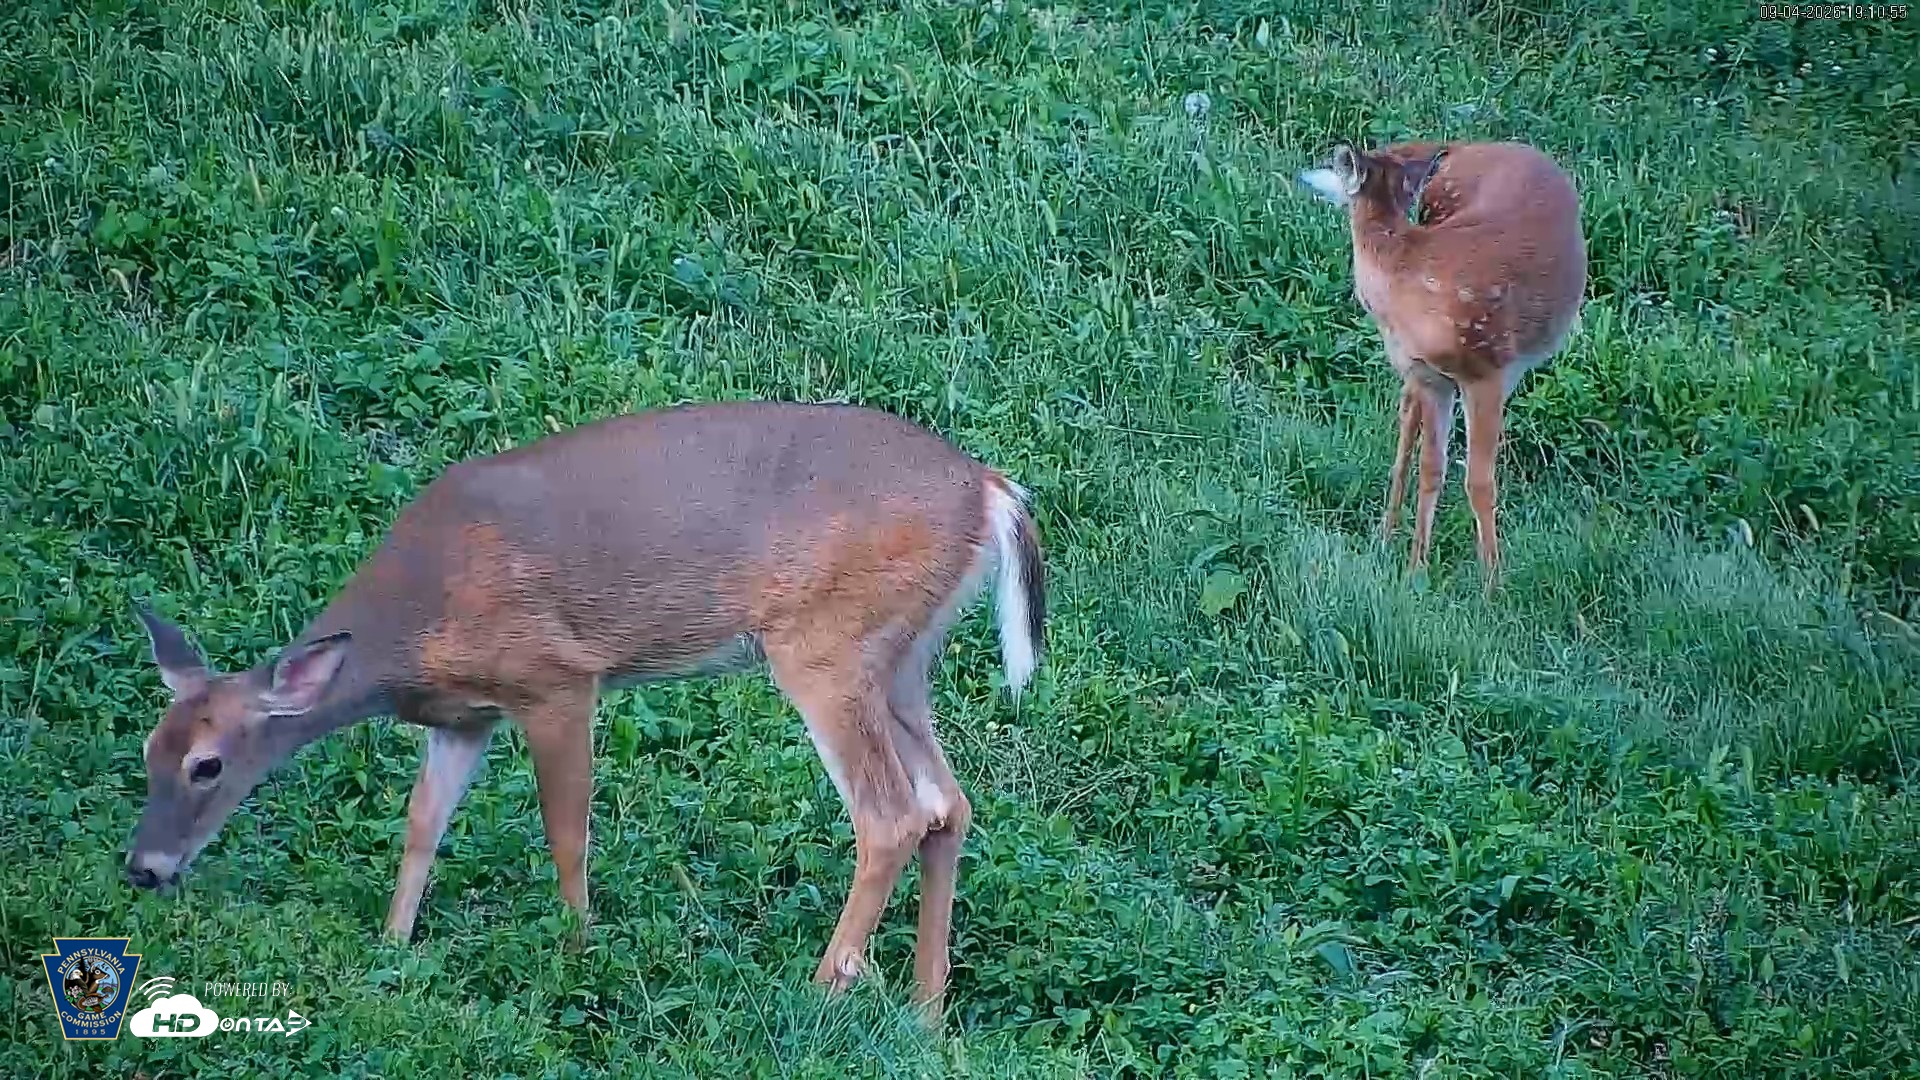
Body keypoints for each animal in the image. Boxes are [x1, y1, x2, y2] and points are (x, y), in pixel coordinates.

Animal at [124, 400, 1047, 1023]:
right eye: (146, 753)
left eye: (208, 764)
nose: (143, 869)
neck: (412, 627)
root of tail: (992, 491)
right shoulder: (465, 717)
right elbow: (422, 824)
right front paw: (391, 946)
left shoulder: (558, 679)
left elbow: (566, 830)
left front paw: (575, 951)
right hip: (905, 660)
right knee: (948, 803)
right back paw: (927, 1011)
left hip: (827, 644)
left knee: (890, 814)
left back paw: (822, 992)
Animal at [1296, 139, 1587, 589]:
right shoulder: (1434, 376)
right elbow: (1435, 468)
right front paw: (1418, 569)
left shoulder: (1486, 370)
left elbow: (1477, 481)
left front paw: (1491, 586)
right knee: (1406, 415)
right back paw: (1386, 533)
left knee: (1407, 414)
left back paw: (1389, 532)